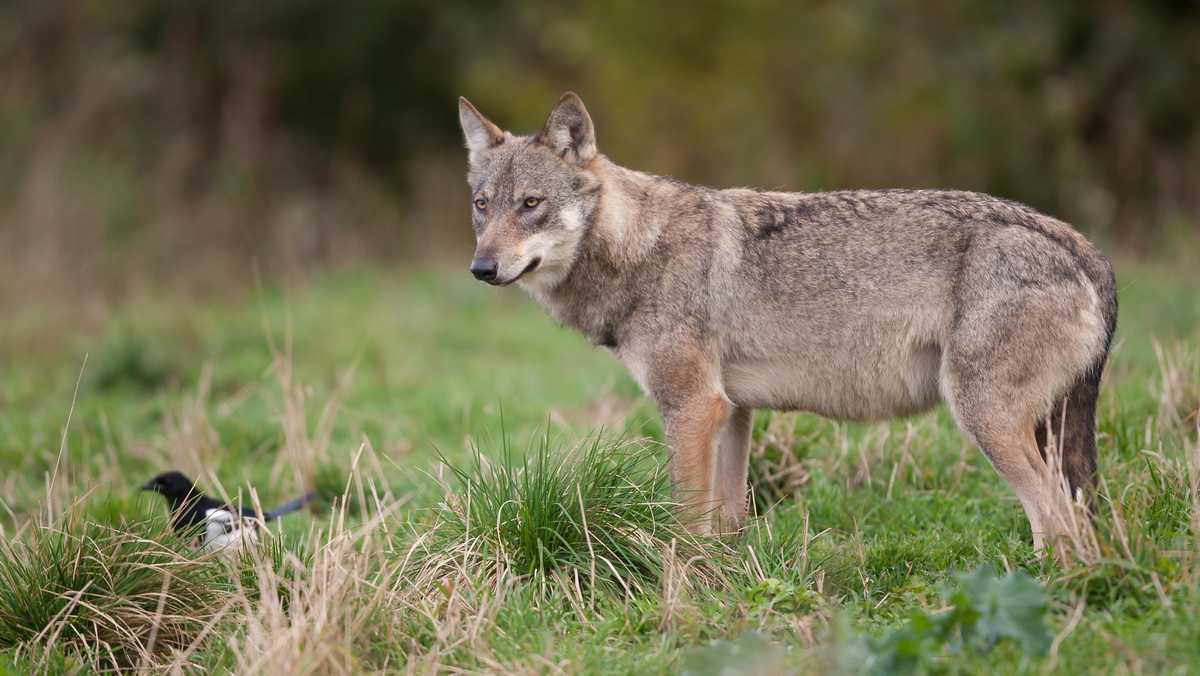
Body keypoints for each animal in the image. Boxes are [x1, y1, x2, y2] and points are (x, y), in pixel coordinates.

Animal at [456, 91, 1113, 554]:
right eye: (483, 205)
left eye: (531, 204)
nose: (481, 268)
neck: (638, 249)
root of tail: (1080, 244)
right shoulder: (731, 412)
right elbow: (723, 524)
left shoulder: (691, 406)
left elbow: (682, 520)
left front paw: (678, 593)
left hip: (984, 419)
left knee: (1058, 524)